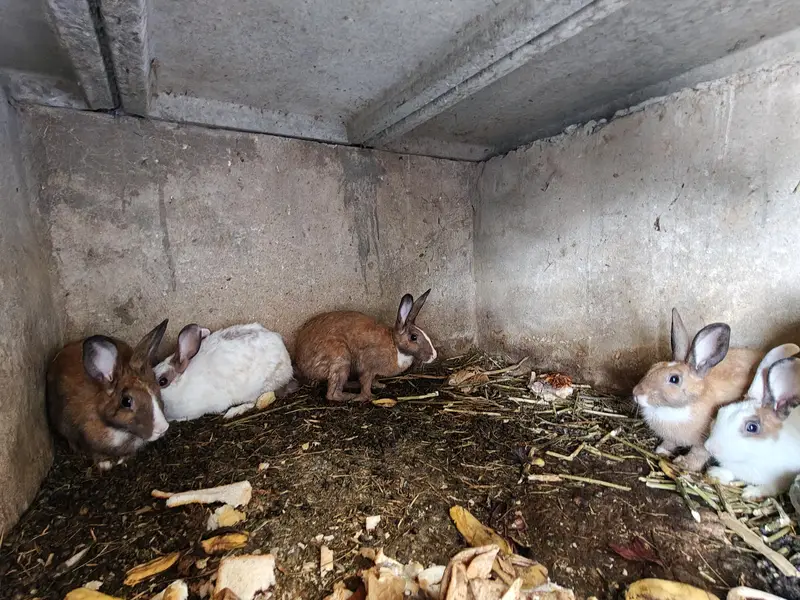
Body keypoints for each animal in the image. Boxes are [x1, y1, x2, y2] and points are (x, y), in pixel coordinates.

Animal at [294, 289, 437, 403]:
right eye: (414, 337)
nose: (434, 356)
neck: (395, 345)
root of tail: (301, 365)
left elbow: (373, 380)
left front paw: (380, 385)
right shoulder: (367, 366)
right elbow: (365, 383)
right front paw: (368, 397)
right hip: (340, 360)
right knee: (332, 394)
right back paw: (351, 396)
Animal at [632, 308, 762, 471]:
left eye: (674, 379)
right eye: (653, 367)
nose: (636, 394)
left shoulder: (706, 440)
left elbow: (698, 453)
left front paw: (684, 463)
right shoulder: (672, 437)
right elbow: (670, 442)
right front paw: (661, 450)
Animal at [705, 343, 800, 501]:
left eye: (752, 427)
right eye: (721, 411)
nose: (710, 447)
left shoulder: (783, 479)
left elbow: (771, 487)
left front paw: (750, 492)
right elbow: (730, 472)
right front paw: (714, 472)